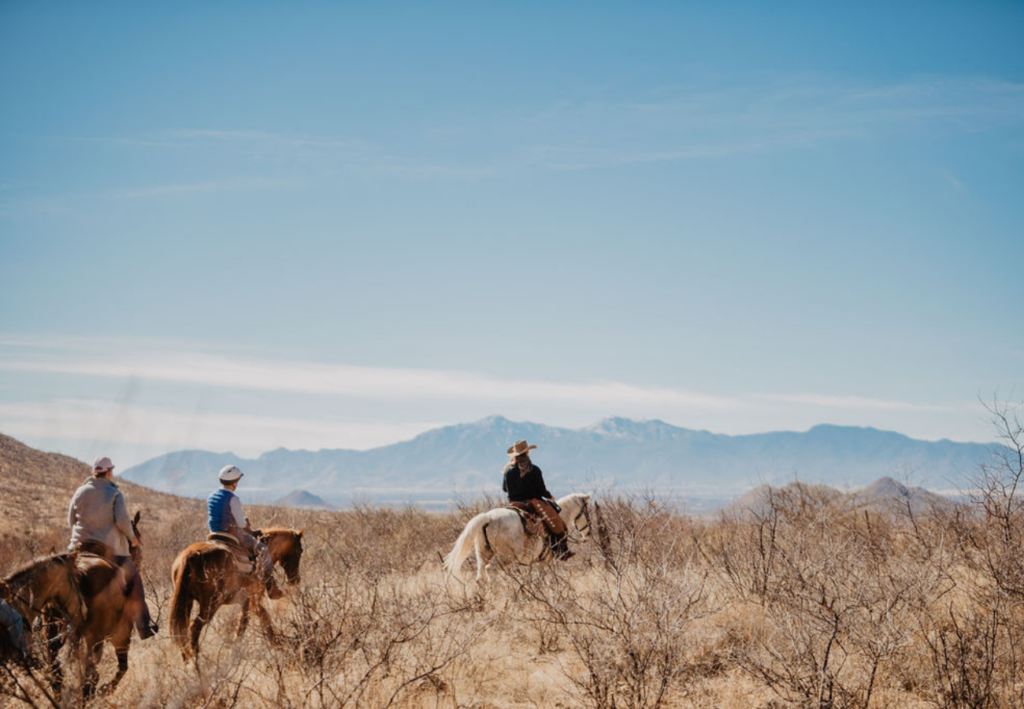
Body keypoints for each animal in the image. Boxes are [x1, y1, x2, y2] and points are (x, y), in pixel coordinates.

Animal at [167, 524, 301, 663]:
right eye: (300, 551)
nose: (295, 579)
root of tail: (191, 556)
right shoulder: (251, 598)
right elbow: (244, 624)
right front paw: (235, 652)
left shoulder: (252, 601)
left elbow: (263, 617)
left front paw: (277, 644)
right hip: (210, 605)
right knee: (194, 628)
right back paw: (196, 663)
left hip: (186, 603)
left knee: (182, 631)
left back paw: (187, 661)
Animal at [442, 493, 593, 581]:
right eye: (587, 511)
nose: (589, 534)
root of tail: (488, 518)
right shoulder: (547, 560)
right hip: (506, 557)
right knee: (490, 570)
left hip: (483, 554)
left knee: (480, 577)